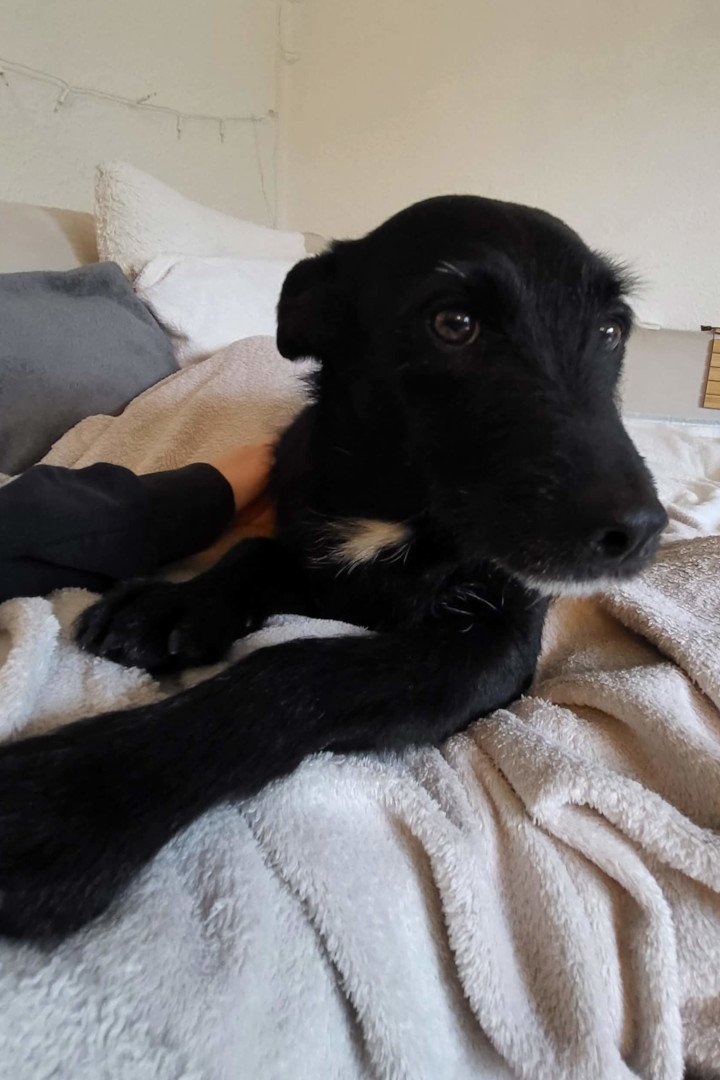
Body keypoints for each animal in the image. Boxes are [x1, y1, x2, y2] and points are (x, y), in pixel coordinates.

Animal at [0, 195, 667, 939]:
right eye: (454, 323)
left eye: (610, 330)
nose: (641, 531)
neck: (398, 509)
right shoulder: (323, 561)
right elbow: (255, 552)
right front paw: (169, 603)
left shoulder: (492, 642)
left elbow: (299, 669)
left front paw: (72, 797)